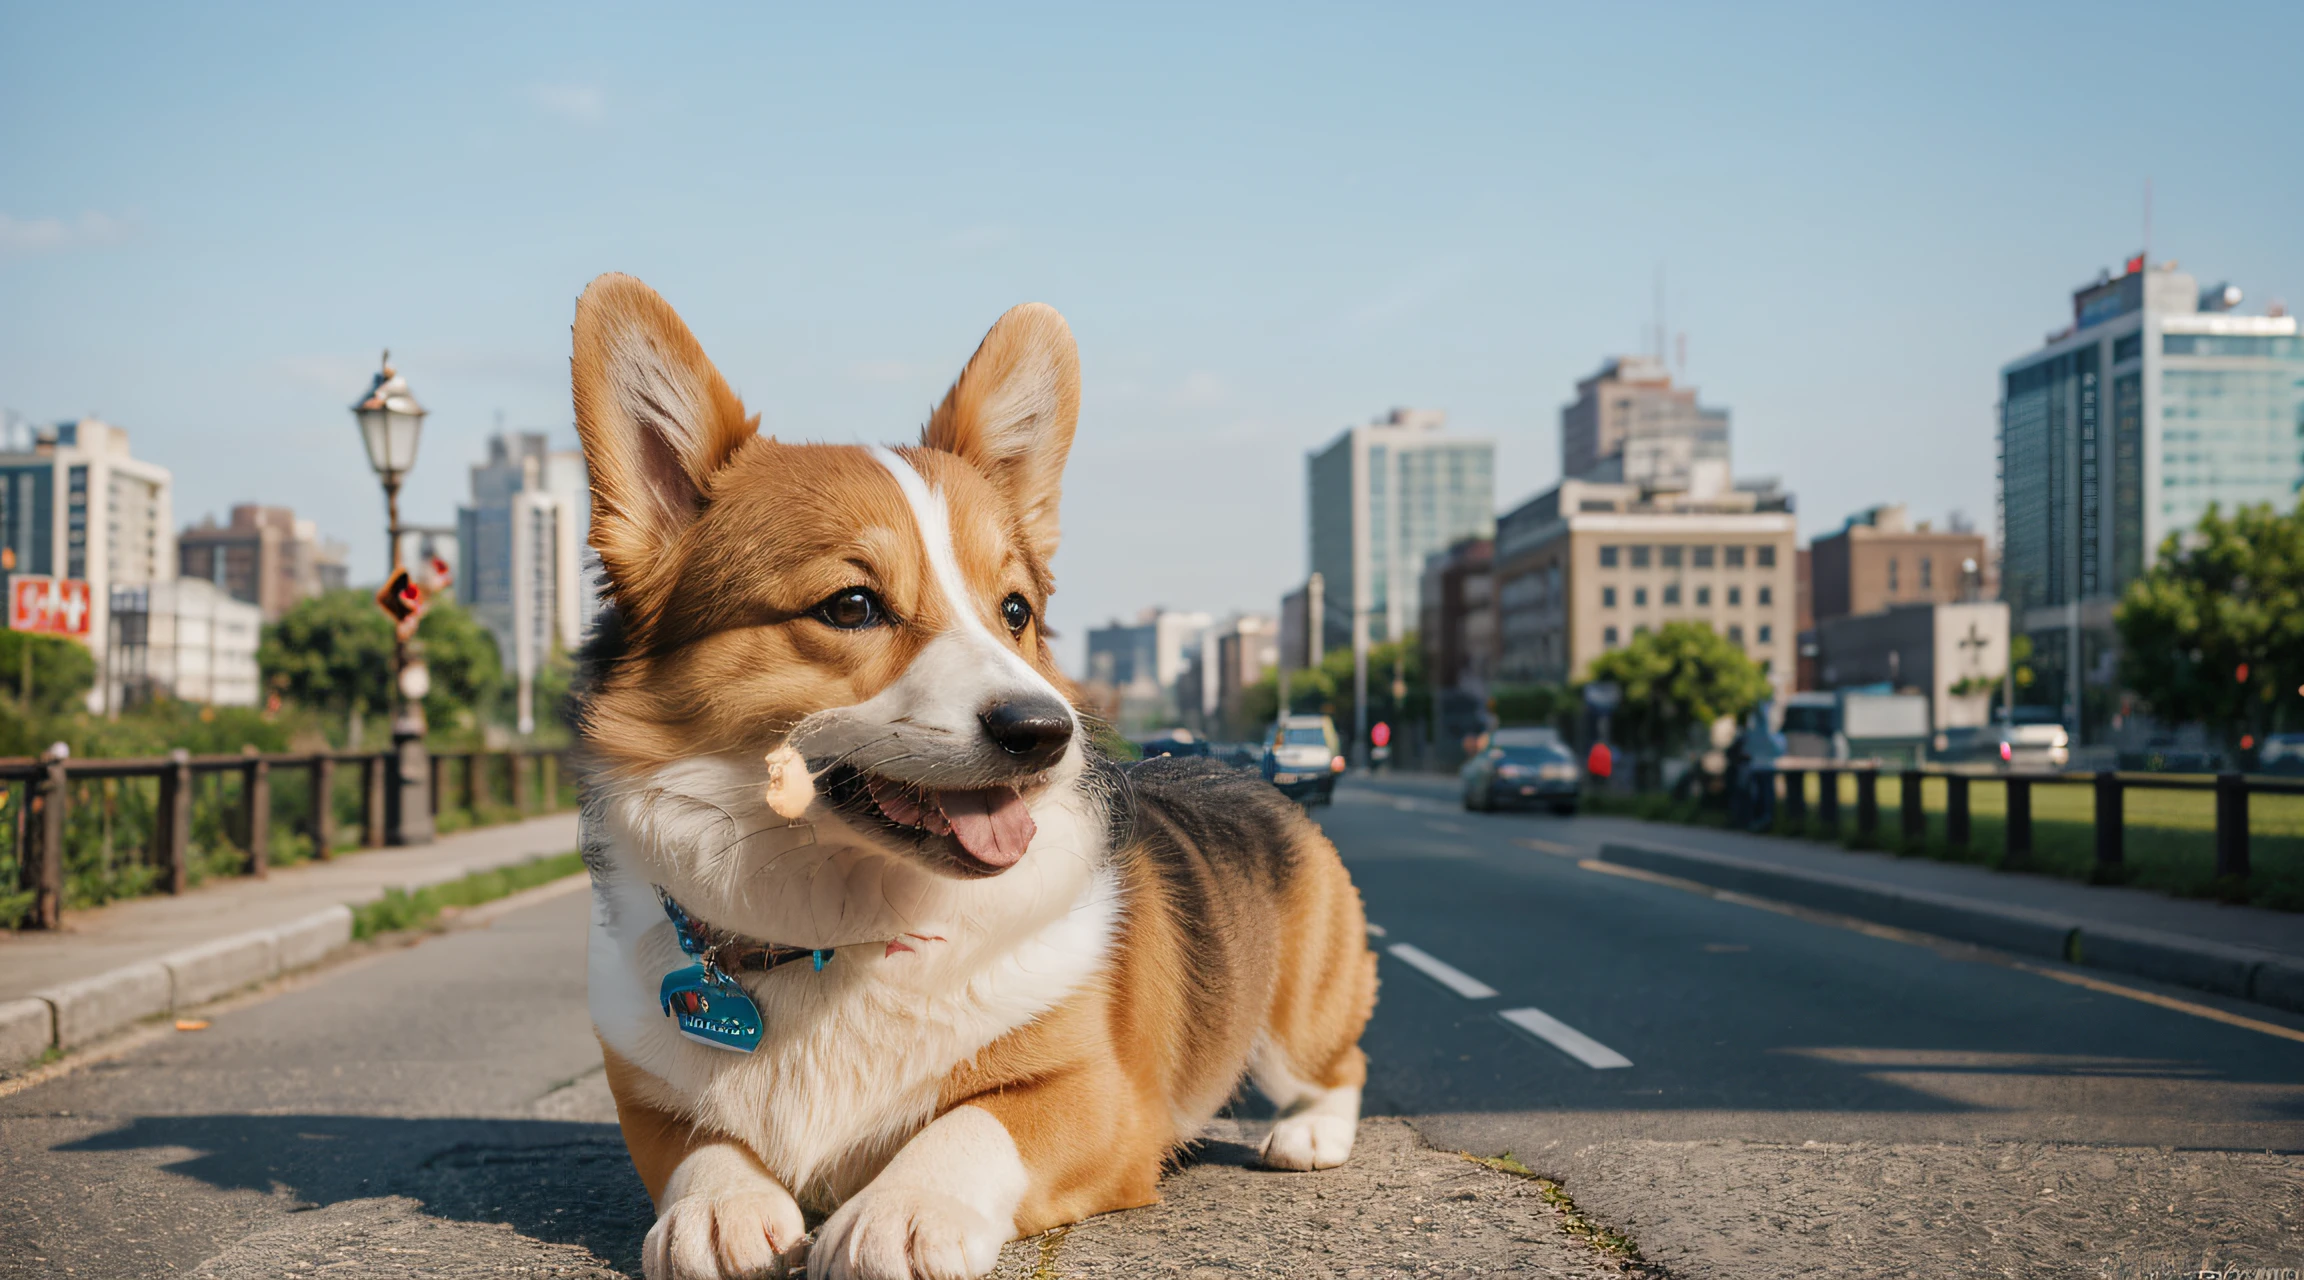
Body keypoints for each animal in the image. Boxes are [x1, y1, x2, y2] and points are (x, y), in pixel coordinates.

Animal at [569, 275, 1373, 1270]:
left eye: (1015, 610)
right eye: (852, 605)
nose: (1046, 732)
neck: (835, 932)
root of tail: (1242, 774)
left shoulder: (1095, 1095)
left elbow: (972, 1124)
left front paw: (902, 1210)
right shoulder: (645, 1094)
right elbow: (701, 1143)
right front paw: (716, 1208)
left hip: (1299, 1011)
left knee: (1336, 1062)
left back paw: (1307, 1133)